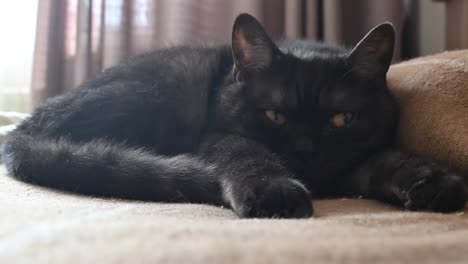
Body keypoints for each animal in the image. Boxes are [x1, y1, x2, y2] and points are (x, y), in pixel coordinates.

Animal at [1, 13, 466, 218]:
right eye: (274, 115)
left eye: (341, 120)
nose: (305, 150)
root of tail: (21, 132)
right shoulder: (220, 138)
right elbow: (248, 154)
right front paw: (274, 192)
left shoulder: (353, 163)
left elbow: (390, 158)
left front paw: (434, 182)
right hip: (168, 84)